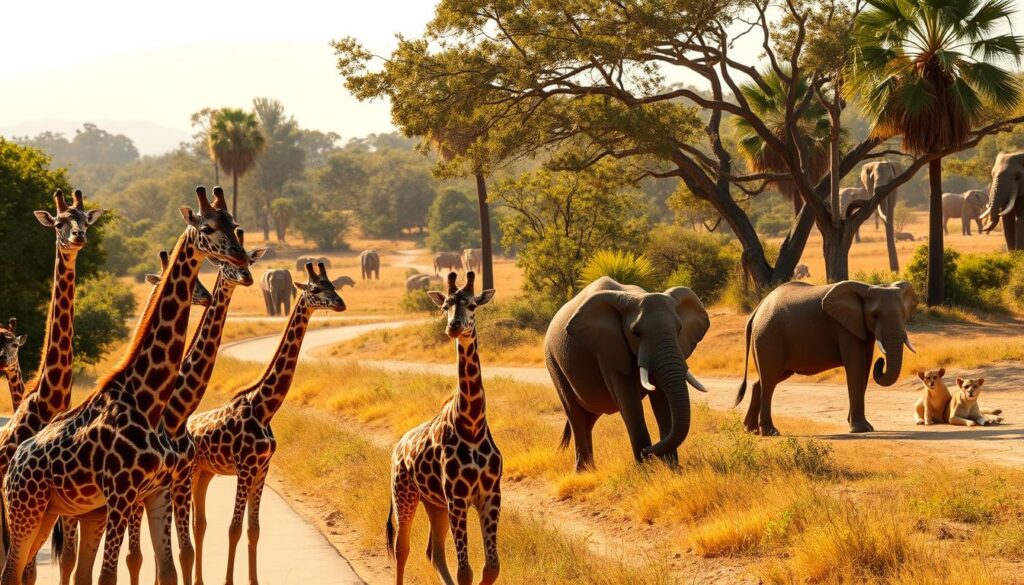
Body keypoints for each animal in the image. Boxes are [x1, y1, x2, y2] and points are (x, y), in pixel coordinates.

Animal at [53, 248, 225, 585]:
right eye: (195, 282)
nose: (207, 296)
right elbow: (134, 556)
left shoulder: (168, 482)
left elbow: (168, 554)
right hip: (73, 509)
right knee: (68, 558)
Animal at [188, 261, 346, 585]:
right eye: (315, 289)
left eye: (334, 286)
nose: (341, 303)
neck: (264, 408)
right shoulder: (245, 468)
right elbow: (234, 527)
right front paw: (228, 582)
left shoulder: (262, 468)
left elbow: (253, 529)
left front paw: (254, 580)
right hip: (189, 473)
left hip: (205, 473)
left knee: (199, 522)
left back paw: (198, 579)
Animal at [388, 271, 501, 585]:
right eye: (444, 306)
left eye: (472, 305)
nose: (454, 326)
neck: (472, 425)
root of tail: (397, 447)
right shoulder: (458, 498)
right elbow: (466, 571)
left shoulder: (490, 496)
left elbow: (491, 567)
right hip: (404, 493)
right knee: (402, 547)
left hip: (434, 502)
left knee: (433, 551)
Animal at [544, 277, 711, 471]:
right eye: (636, 333)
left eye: (679, 329)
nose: (648, 451)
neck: (635, 295)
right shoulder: (607, 349)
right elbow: (629, 402)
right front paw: (645, 471)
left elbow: (662, 399)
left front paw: (672, 469)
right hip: (553, 363)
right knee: (575, 413)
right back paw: (583, 472)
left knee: (589, 417)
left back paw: (590, 469)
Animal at [736, 280, 919, 436]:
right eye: (874, 315)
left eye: (904, 314)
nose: (881, 362)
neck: (867, 288)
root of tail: (756, 310)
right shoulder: (844, 328)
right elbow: (856, 366)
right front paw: (860, 430)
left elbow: (865, 368)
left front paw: (862, 426)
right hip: (768, 336)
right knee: (769, 382)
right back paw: (770, 432)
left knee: (766, 380)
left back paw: (750, 429)